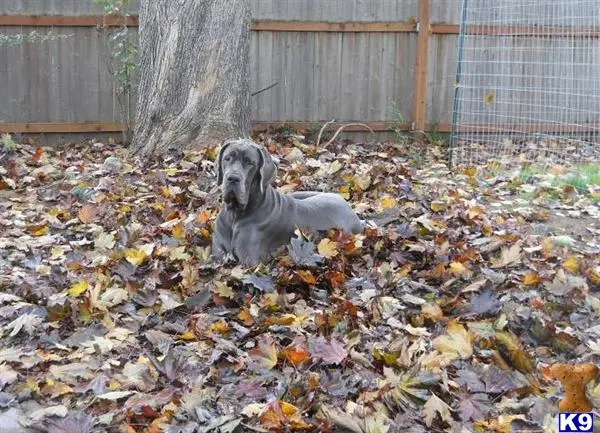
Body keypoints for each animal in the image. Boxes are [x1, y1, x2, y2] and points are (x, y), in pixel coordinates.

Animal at [213, 138, 364, 266]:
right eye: (227, 158)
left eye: (249, 162)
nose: (232, 178)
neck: (235, 214)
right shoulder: (217, 253)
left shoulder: (249, 260)